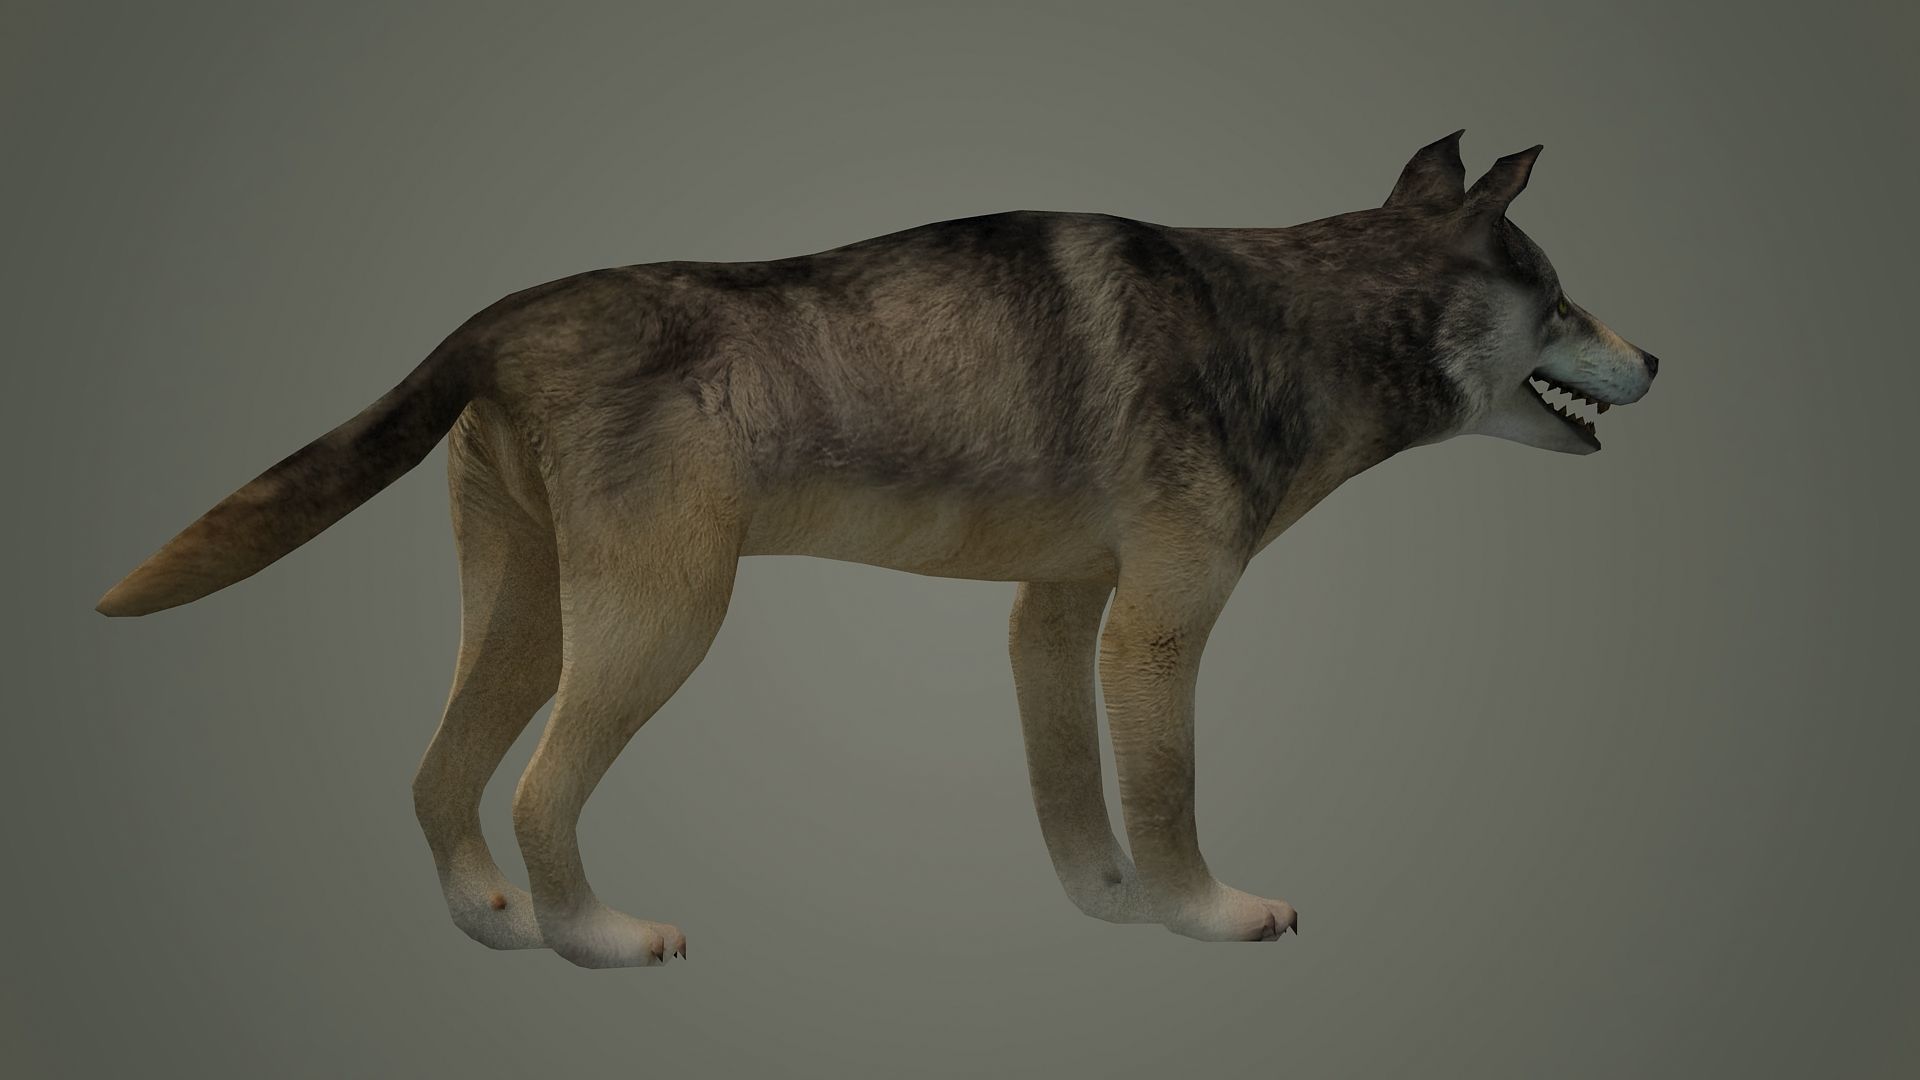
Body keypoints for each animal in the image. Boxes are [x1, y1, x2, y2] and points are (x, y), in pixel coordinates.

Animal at [97, 132, 1660, 968]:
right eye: (1562, 297)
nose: (1659, 357)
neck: (1298, 312)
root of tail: (496, 315)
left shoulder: (1056, 618)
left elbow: (1071, 793)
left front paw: (1109, 907)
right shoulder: (1158, 627)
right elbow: (1167, 797)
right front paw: (1203, 914)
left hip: (532, 621)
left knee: (435, 776)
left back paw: (494, 926)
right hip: (659, 623)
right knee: (539, 790)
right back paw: (595, 938)